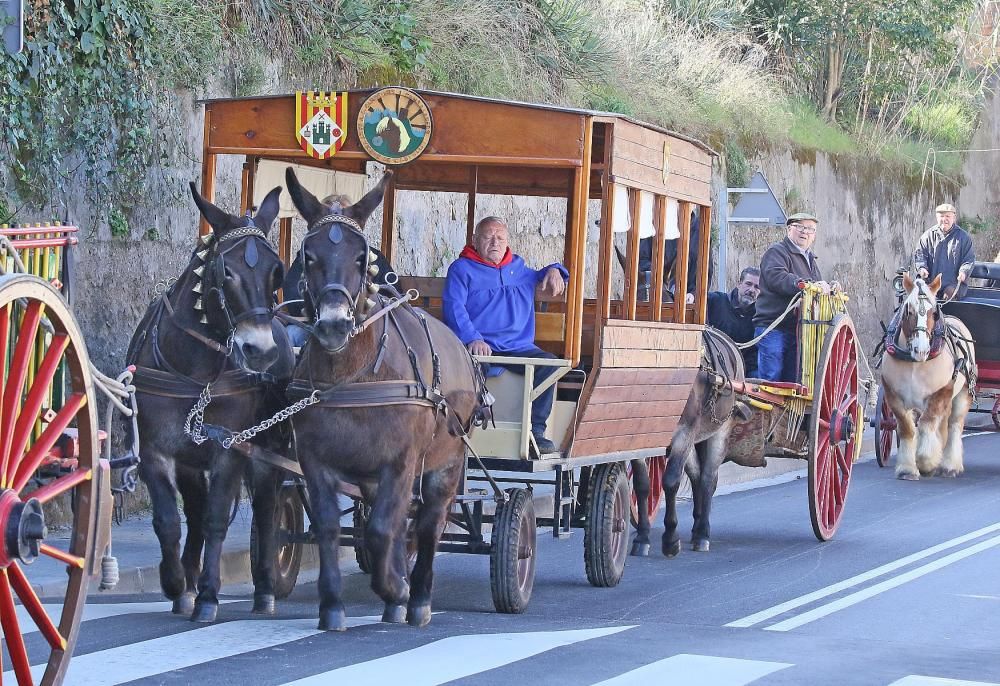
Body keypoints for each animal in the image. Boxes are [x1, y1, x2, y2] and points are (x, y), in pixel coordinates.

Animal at [884, 272, 976, 482]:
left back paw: (950, 465)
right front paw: (907, 469)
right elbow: (907, 429)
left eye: (933, 312)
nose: (921, 349)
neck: (915, 363)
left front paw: (926, 462)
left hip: (962, 393)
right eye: (908, 311)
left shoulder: (939, 393)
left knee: (954, 425)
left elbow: (927, 424)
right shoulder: (894, 396)